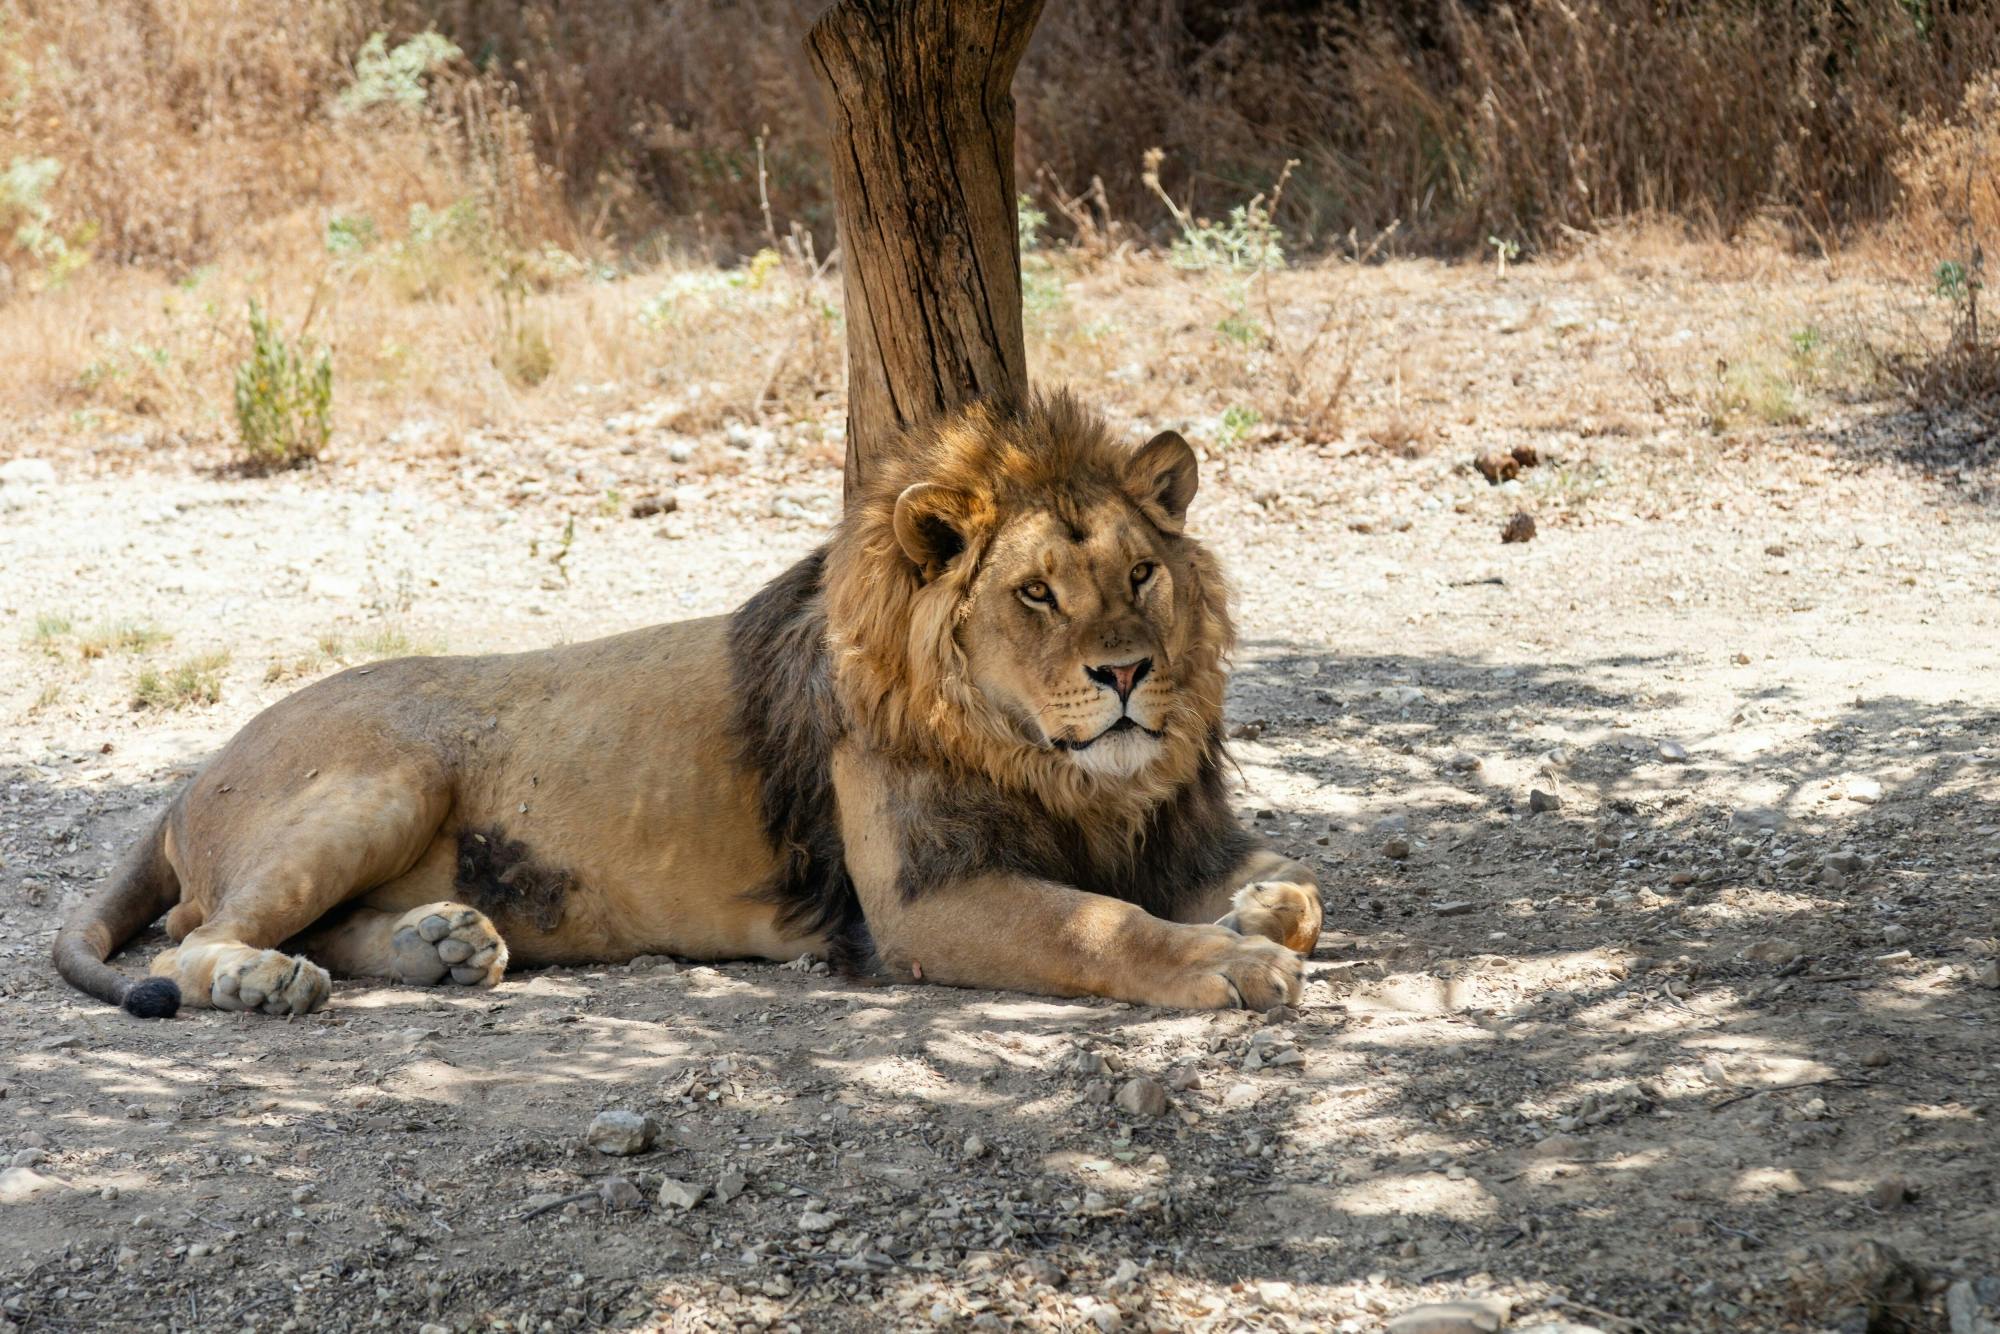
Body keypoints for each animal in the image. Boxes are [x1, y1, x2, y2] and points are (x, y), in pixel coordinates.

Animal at [54, 392, 1320, 1016]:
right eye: (1036, 593)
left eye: (1139, 575)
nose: (1126, 674)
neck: (1062, 771)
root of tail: (190, 772)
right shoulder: (926, 899)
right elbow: (1096, 922)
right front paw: (1230, 961)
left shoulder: (1176, 836)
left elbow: (1296, 884)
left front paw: (1258, 914)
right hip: (381, 781)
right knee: (197, 933)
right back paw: (268, 981)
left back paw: (444, 944)